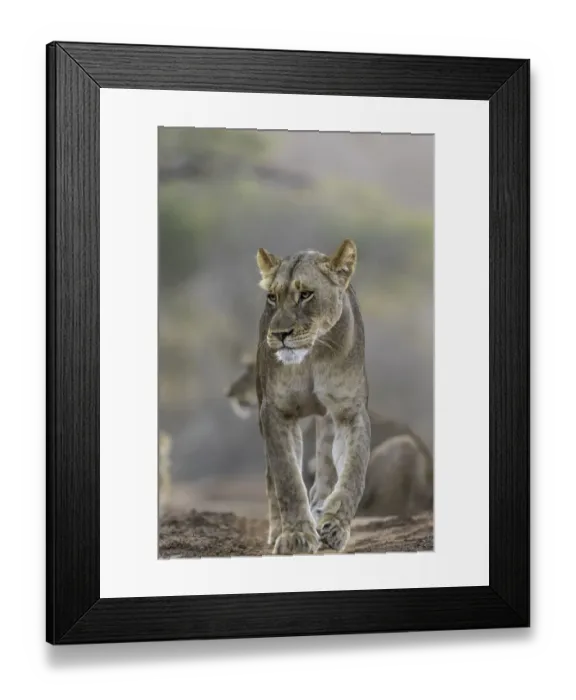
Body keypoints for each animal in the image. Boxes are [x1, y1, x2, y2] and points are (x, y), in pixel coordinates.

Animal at [255, 239, 371, 554]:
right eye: (272, 297)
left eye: (305, 294)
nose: (279, 334)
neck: (314, 353)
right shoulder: (276, 412)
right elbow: (287, 479)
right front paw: (295, 535)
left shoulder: (349, 413)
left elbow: (353, 473)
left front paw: (334, 527)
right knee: (271, 478)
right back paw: (277, 528)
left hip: (327, 420)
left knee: (325, 465)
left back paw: (320, 509)